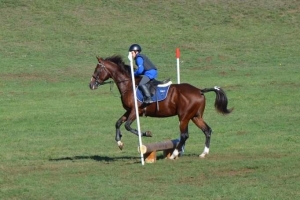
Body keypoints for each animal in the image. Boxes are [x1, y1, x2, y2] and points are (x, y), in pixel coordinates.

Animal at [88, 54, 233, 159]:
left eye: (98, 70)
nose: (91, 85)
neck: (129, 84)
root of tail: (199, 90)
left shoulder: (136, 111)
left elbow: (127, 126)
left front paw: (146, 134)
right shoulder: (129, 111)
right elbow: (118, 123)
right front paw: (119, 143)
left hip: (184, 117)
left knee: (184, 135)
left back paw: (174, 154)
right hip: (195, 116)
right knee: (207, 130)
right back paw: (203, 153)